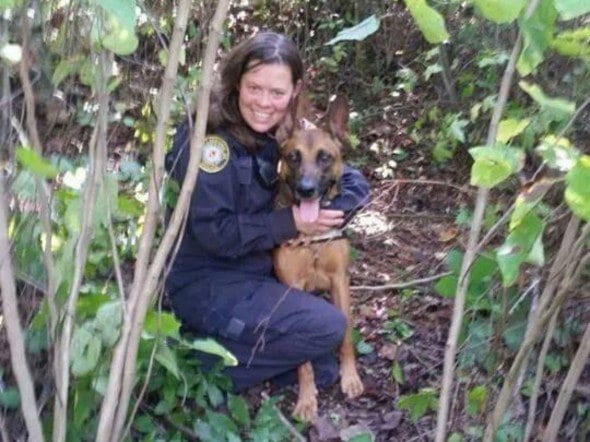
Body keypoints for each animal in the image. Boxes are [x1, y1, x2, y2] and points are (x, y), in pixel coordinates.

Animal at [274, 96, 366, 422]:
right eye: (293, 157)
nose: (306, 190)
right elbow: (303, 361)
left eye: (325, 157)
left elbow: (347, 336)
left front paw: (350, 377)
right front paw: (306, 398)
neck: (312, 238)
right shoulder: (292, 288)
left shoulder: (340, 281)